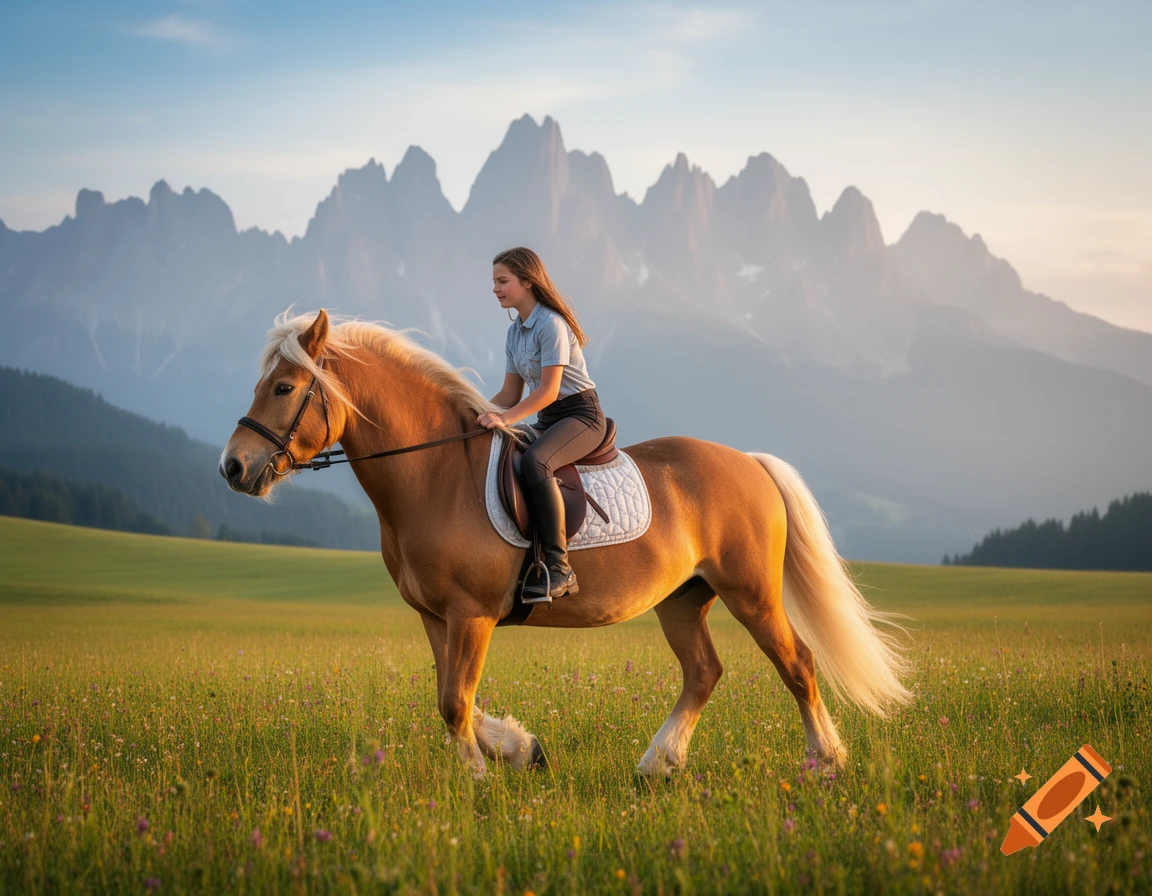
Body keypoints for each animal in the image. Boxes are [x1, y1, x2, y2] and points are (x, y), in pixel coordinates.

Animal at [220, 309, 911, 778]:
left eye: (283, 388)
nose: (233, 467)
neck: (434, 474)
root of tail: (749, 462)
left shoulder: (471, 615)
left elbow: (454, 702)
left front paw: (477, 779)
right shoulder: (435, 617)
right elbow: (454, 700)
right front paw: (520, 749)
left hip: (752, 593)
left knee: (797, 663)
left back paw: (824, 762)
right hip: (684, 598)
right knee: (704, 671)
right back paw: (658, 764)